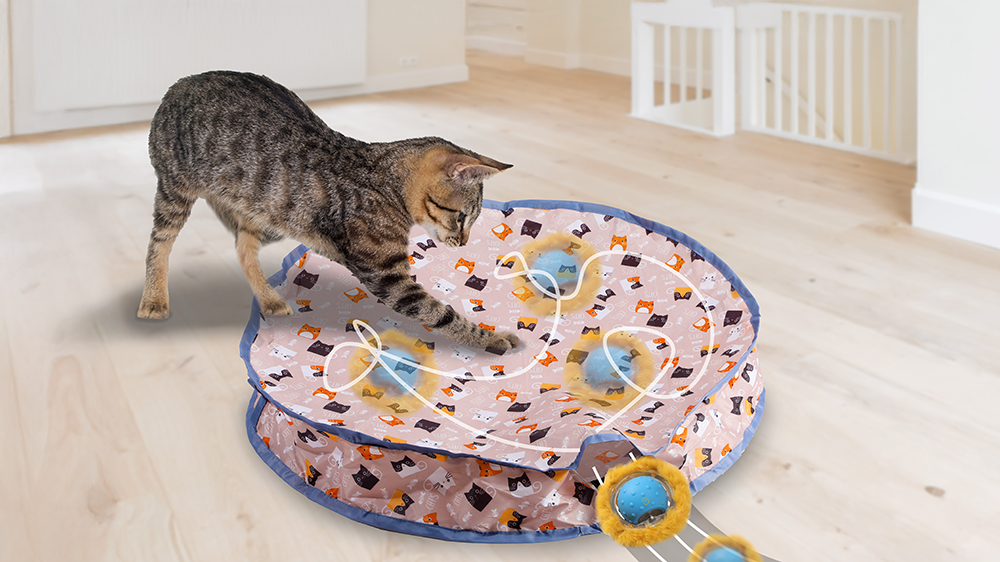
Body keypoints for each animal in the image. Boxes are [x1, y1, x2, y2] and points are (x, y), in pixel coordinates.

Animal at [139, 70, 524, 350]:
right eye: (462, 217)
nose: (463, 243)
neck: (382, 178)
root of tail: (183, 81)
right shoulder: (387, 275)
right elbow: (440, 313)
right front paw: (492, 338)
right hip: (176, 189)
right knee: (159, 243)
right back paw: (154, 298)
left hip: (269, 212)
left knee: (242, 247)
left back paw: (269, 299)